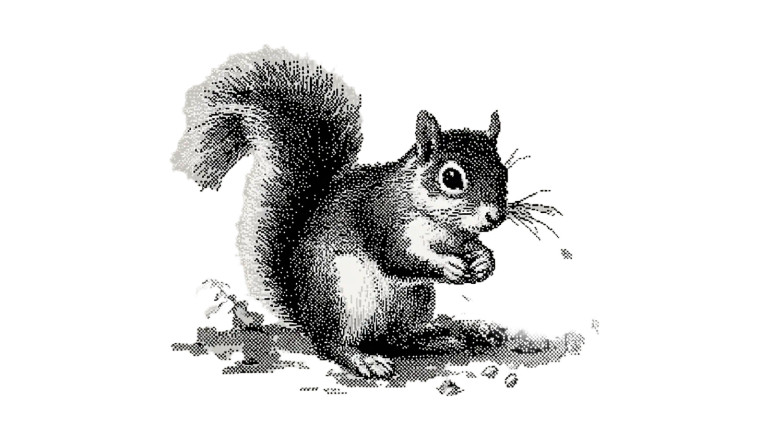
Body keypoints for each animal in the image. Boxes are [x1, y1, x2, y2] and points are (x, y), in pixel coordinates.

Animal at [172, 47, 511, 379]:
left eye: (504, 172)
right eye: (451, 177)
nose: (495, 216)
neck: (441, 224)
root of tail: (307, 314)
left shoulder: (459, 237)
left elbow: (473, 247)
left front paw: (484, 261)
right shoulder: (384, 220)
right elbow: (398, 257)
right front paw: (448, 266)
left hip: (414, 301)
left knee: (397, 339)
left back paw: (440, 338)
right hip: (341, 294)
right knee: (333, 344)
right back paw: (362, 359)